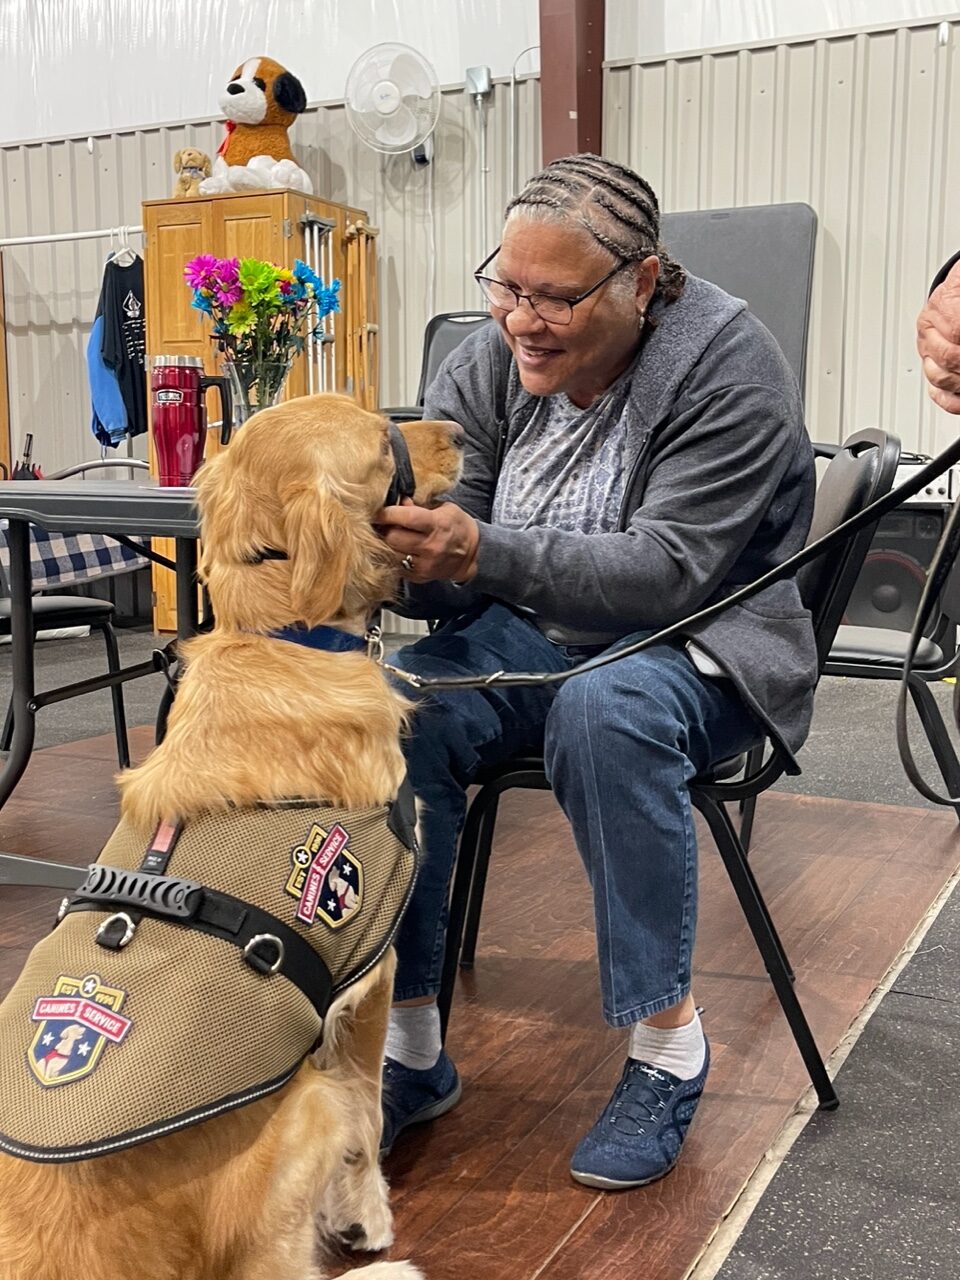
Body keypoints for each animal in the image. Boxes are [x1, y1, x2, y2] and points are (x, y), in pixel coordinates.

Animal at [0, 391, 463, 1280]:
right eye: (380, 442)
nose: (458, 432)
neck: (284, 638)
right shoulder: (372, 971)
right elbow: (369, 1117)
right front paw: (370, 1219)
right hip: (304, 1107)